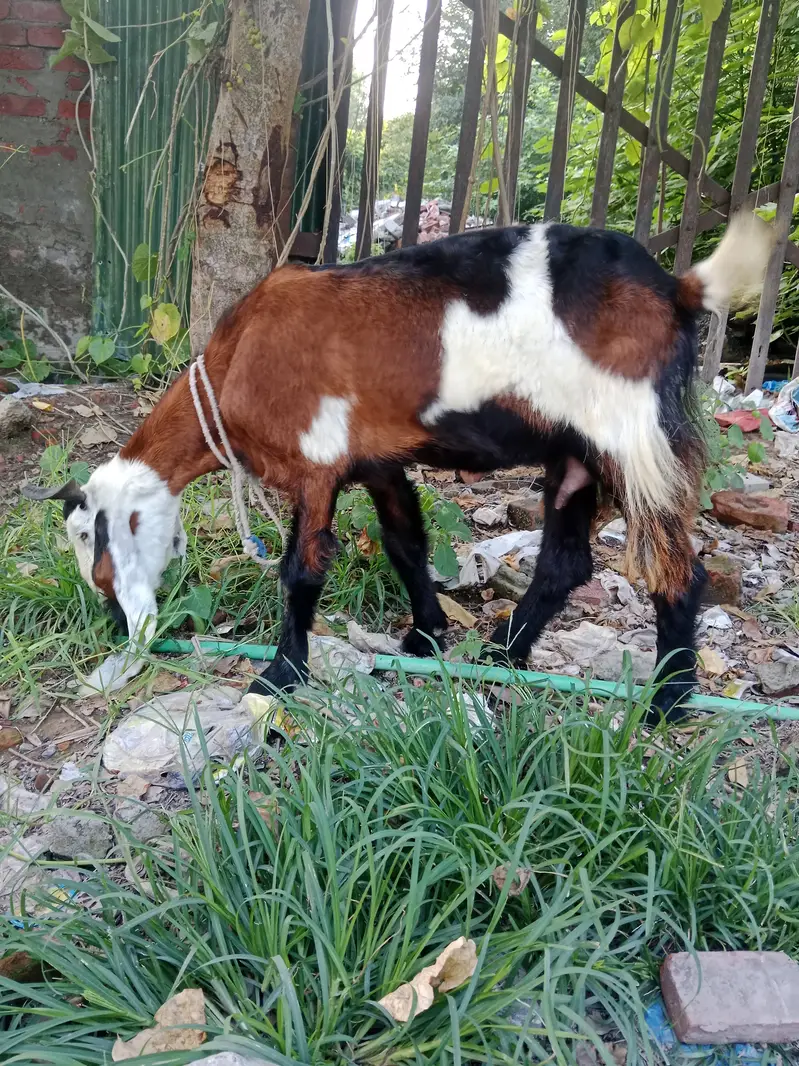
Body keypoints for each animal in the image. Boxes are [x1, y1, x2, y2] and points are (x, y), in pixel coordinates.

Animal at [25, 214, 772, 717]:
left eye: (92, 547)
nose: (117, 623)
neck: (236, 359)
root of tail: (676, 287)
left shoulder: (317, 464)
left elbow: (301, 572)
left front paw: (279, 675)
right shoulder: (377, 461)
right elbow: (405, 543)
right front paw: (426, 634)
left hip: (633, 436)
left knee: (677, 567)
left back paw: (667, 701)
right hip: (574, 454)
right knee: (565, 563)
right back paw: (504, 654)